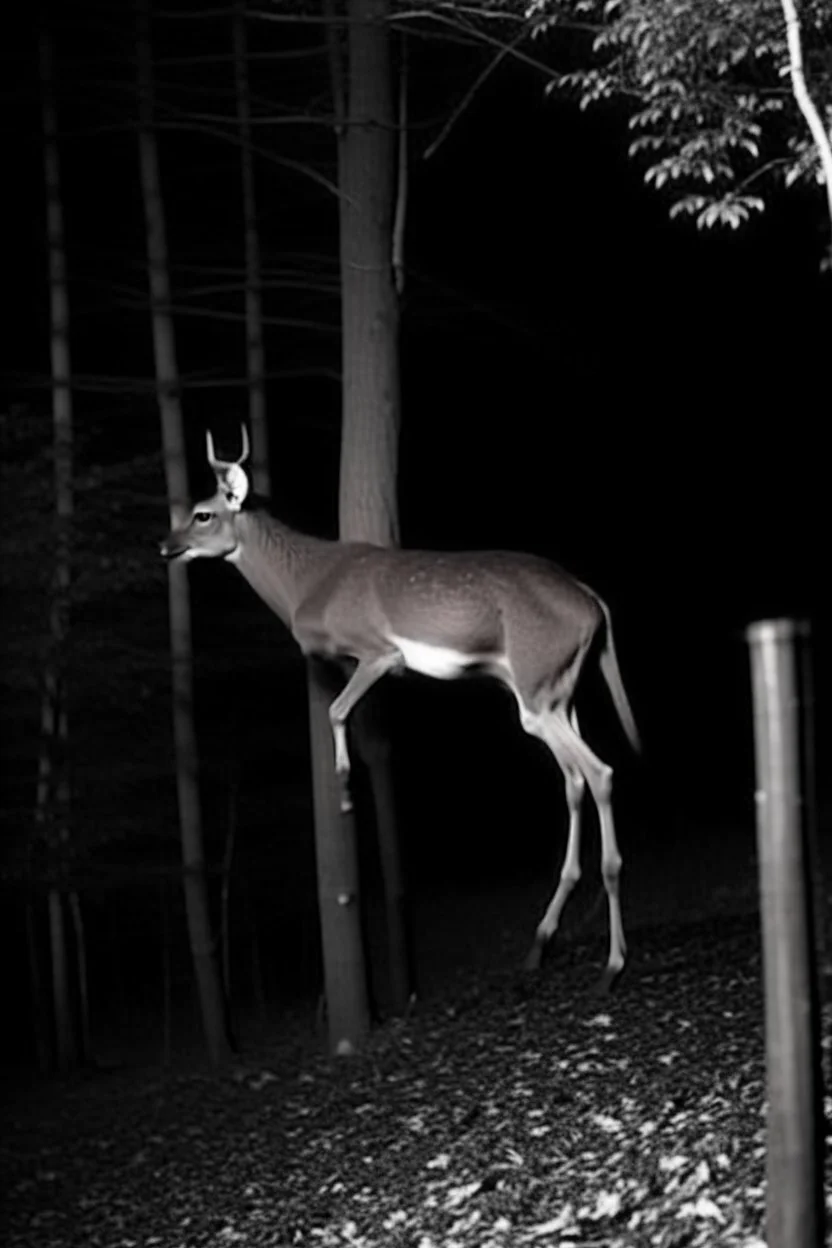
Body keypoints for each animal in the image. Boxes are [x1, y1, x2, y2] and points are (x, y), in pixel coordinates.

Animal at [164, 424, 643, 988]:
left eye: (202, 513)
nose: (166, 545)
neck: (305, 585)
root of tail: (594, 603)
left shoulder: (378, 651)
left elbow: (337, 710)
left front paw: (345, 789)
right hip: (555, 690)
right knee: (574, 779)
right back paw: (541, 941)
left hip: (537, 688)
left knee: (601, 772)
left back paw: (613, 963)